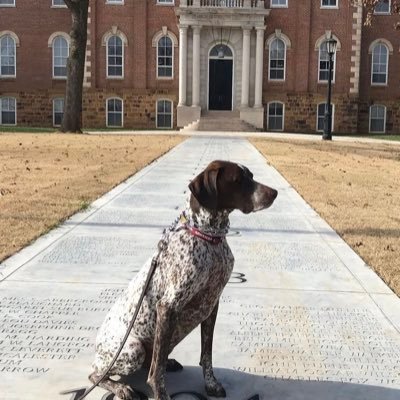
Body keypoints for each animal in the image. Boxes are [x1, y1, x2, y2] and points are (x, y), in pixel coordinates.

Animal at [90, 160, 278, 400]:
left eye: (251, 176)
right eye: (237, 180)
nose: (274, 193)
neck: (209, 238)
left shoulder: (211, 304)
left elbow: (206, 355)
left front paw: (211, 384)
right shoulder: (168, 306)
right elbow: (156, 374)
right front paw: (160, 394)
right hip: (132, 349)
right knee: (97, 374)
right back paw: (121, 387)